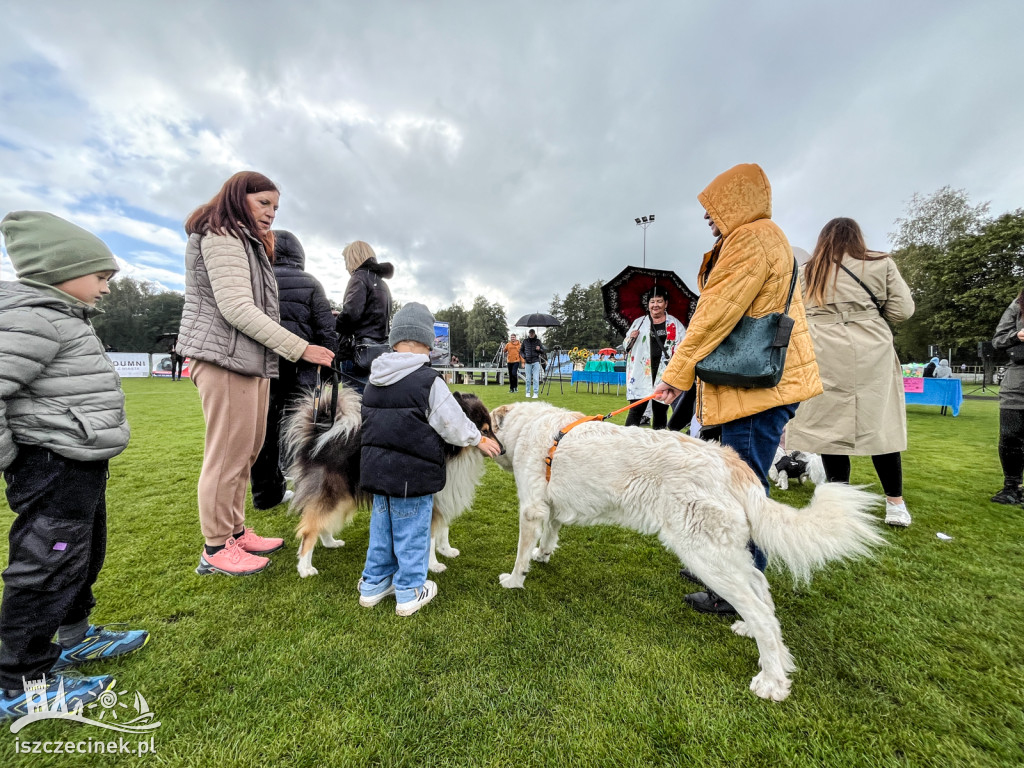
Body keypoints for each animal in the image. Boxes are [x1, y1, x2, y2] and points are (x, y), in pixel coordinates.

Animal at [487, 403, 880, 704]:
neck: (530, 427)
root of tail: (732, 463)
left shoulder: (530, 510)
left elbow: (521, 551)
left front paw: (515, 579)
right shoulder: (550, 507)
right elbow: (550, 533)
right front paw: (543, 555)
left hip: (704, 556)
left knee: (762, 615)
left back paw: (772, 681)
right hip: (726, 556)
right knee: (761, 590)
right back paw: (756, 638)